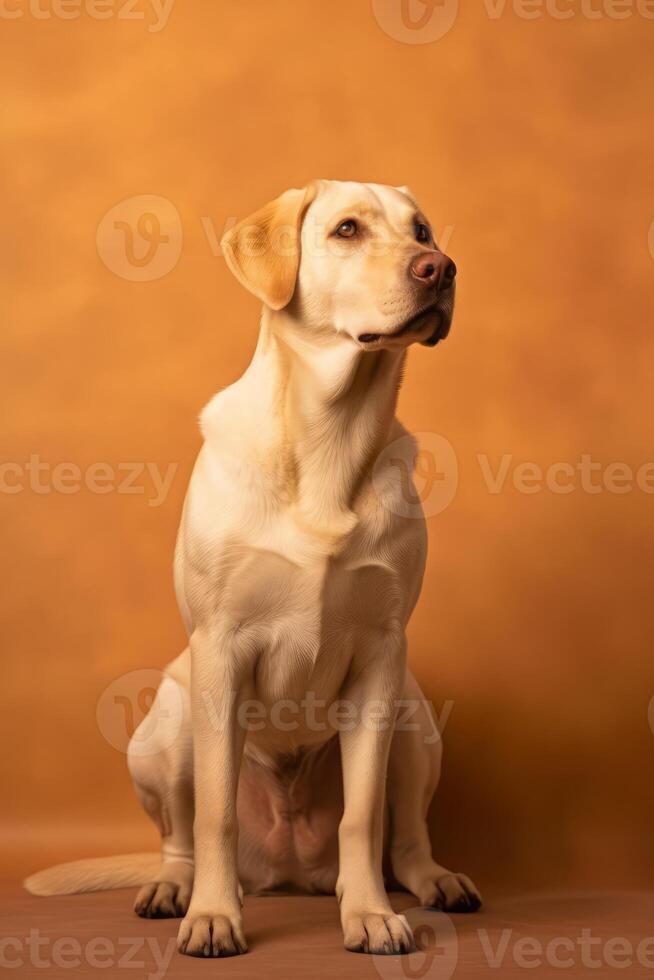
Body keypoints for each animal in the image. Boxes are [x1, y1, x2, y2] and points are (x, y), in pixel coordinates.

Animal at [26, 182, 482, 956]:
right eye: (347, 230)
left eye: (421, 231)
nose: (440, 268)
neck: (331, 436)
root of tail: (287, 869)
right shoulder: (222, 649)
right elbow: (215, 812)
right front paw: (213, 915)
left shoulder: (381, 656)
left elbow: (364, 814)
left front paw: (369, 915)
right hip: (167, 718)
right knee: (181, 836)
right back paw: (176, 889)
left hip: (416, 715)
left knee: (406, 839)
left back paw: (431, 881)